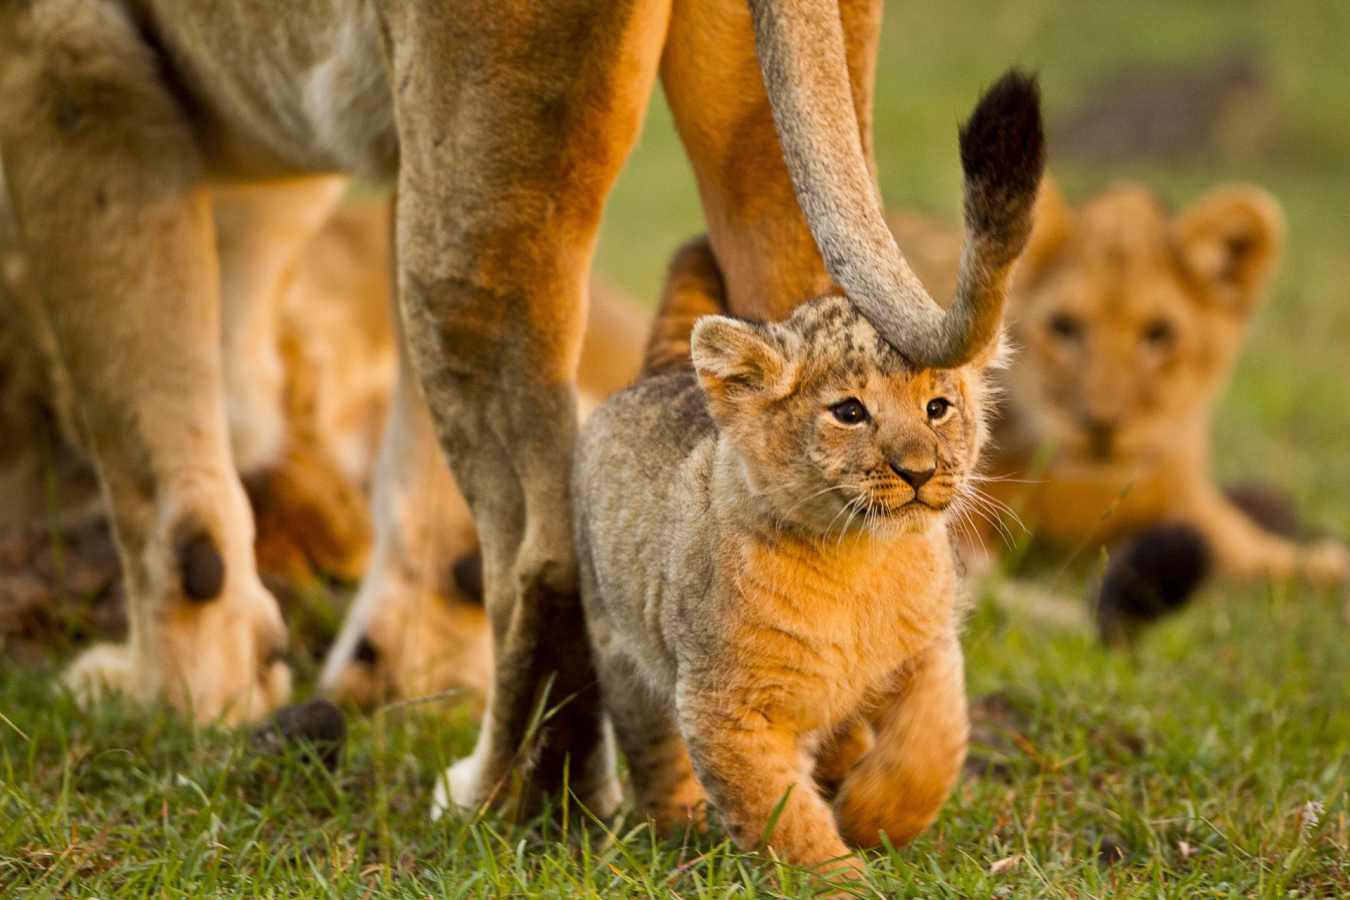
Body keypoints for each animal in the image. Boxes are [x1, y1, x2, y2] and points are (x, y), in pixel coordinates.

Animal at [3, 0, 1011, 809]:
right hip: (754, 134)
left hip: (472, 174)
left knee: (541, 554)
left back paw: (500, 794)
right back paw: (848, 771)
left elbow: (162, 474)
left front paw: (177, 695)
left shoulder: (71, 64)